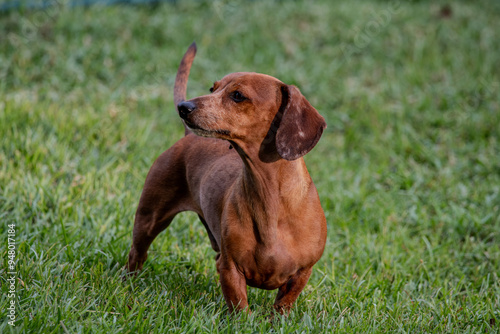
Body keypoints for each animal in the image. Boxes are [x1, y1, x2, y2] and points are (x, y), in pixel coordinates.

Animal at [127, 42, 326, 314]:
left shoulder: (301, 274)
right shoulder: (230, 267)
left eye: (238, 95)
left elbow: (282, 307)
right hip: (149, 219)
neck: (272, 200)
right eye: (213, 88)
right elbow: (240, 308)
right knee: (137, 254)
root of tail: (188, 136)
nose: (184, 107)